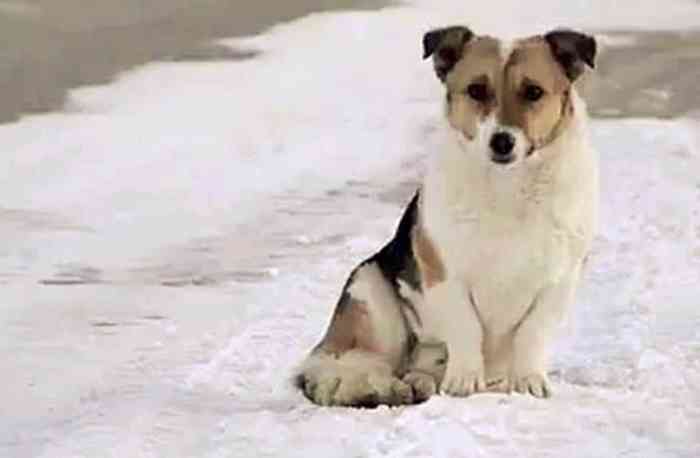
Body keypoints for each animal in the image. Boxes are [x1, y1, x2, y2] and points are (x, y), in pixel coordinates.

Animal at [296, 25, 600, 406]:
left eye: (533, 92)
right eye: (476, 90)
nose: (501, 142)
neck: (507, 188)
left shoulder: (558, 281)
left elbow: (532, 333)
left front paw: (528, 382)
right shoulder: (444, 274)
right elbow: (466, 327)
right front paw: (464, 381)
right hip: (371, 293)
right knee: (357, 364)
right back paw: (386, 385)